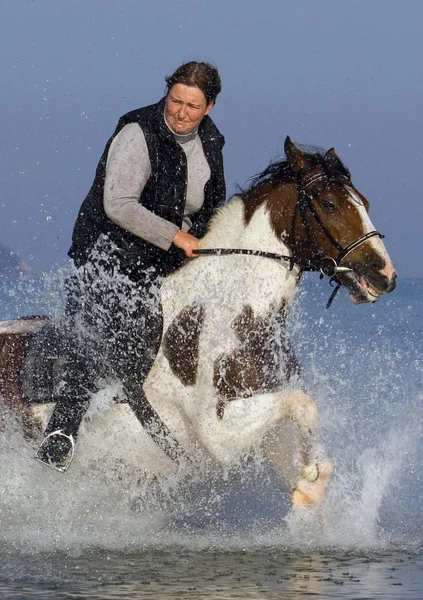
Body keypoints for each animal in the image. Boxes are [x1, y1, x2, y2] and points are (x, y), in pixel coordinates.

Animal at [0, 138, 398, 508]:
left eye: (364, 203)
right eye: (329, 204)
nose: (384, 275)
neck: (228, 314)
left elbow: (309, 445)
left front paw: (308, 492)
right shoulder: (219, 434)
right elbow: (302, 404)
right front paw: (310, 482)